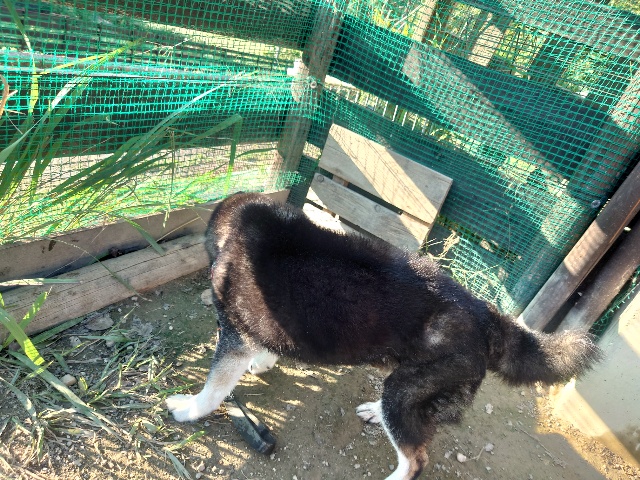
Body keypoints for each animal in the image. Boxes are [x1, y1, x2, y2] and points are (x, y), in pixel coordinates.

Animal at [166, 192, 601, 480]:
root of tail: (486, 316)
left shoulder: (232, 335)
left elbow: (214, 388)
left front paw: (189, 409)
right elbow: (264, 351)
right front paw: (261, 363)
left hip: (406, 387)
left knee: (415, 460)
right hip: (406, 387)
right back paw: (374, 412)